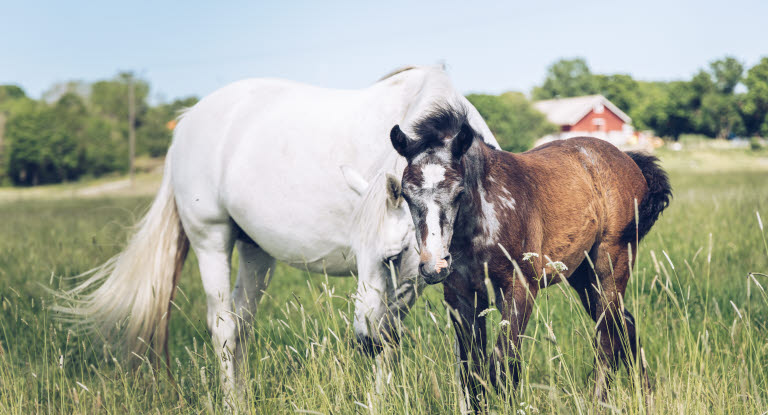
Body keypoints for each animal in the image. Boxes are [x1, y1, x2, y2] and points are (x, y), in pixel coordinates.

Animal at [58, 66, 498, 406]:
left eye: (394, 255)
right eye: (366, 255)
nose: (362, 341)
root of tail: (187, 122)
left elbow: (455, 340)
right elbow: (394, 340)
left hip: (255, 252)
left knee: (241, 324)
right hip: (210, 240)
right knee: (223, 326)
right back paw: (232, 403)